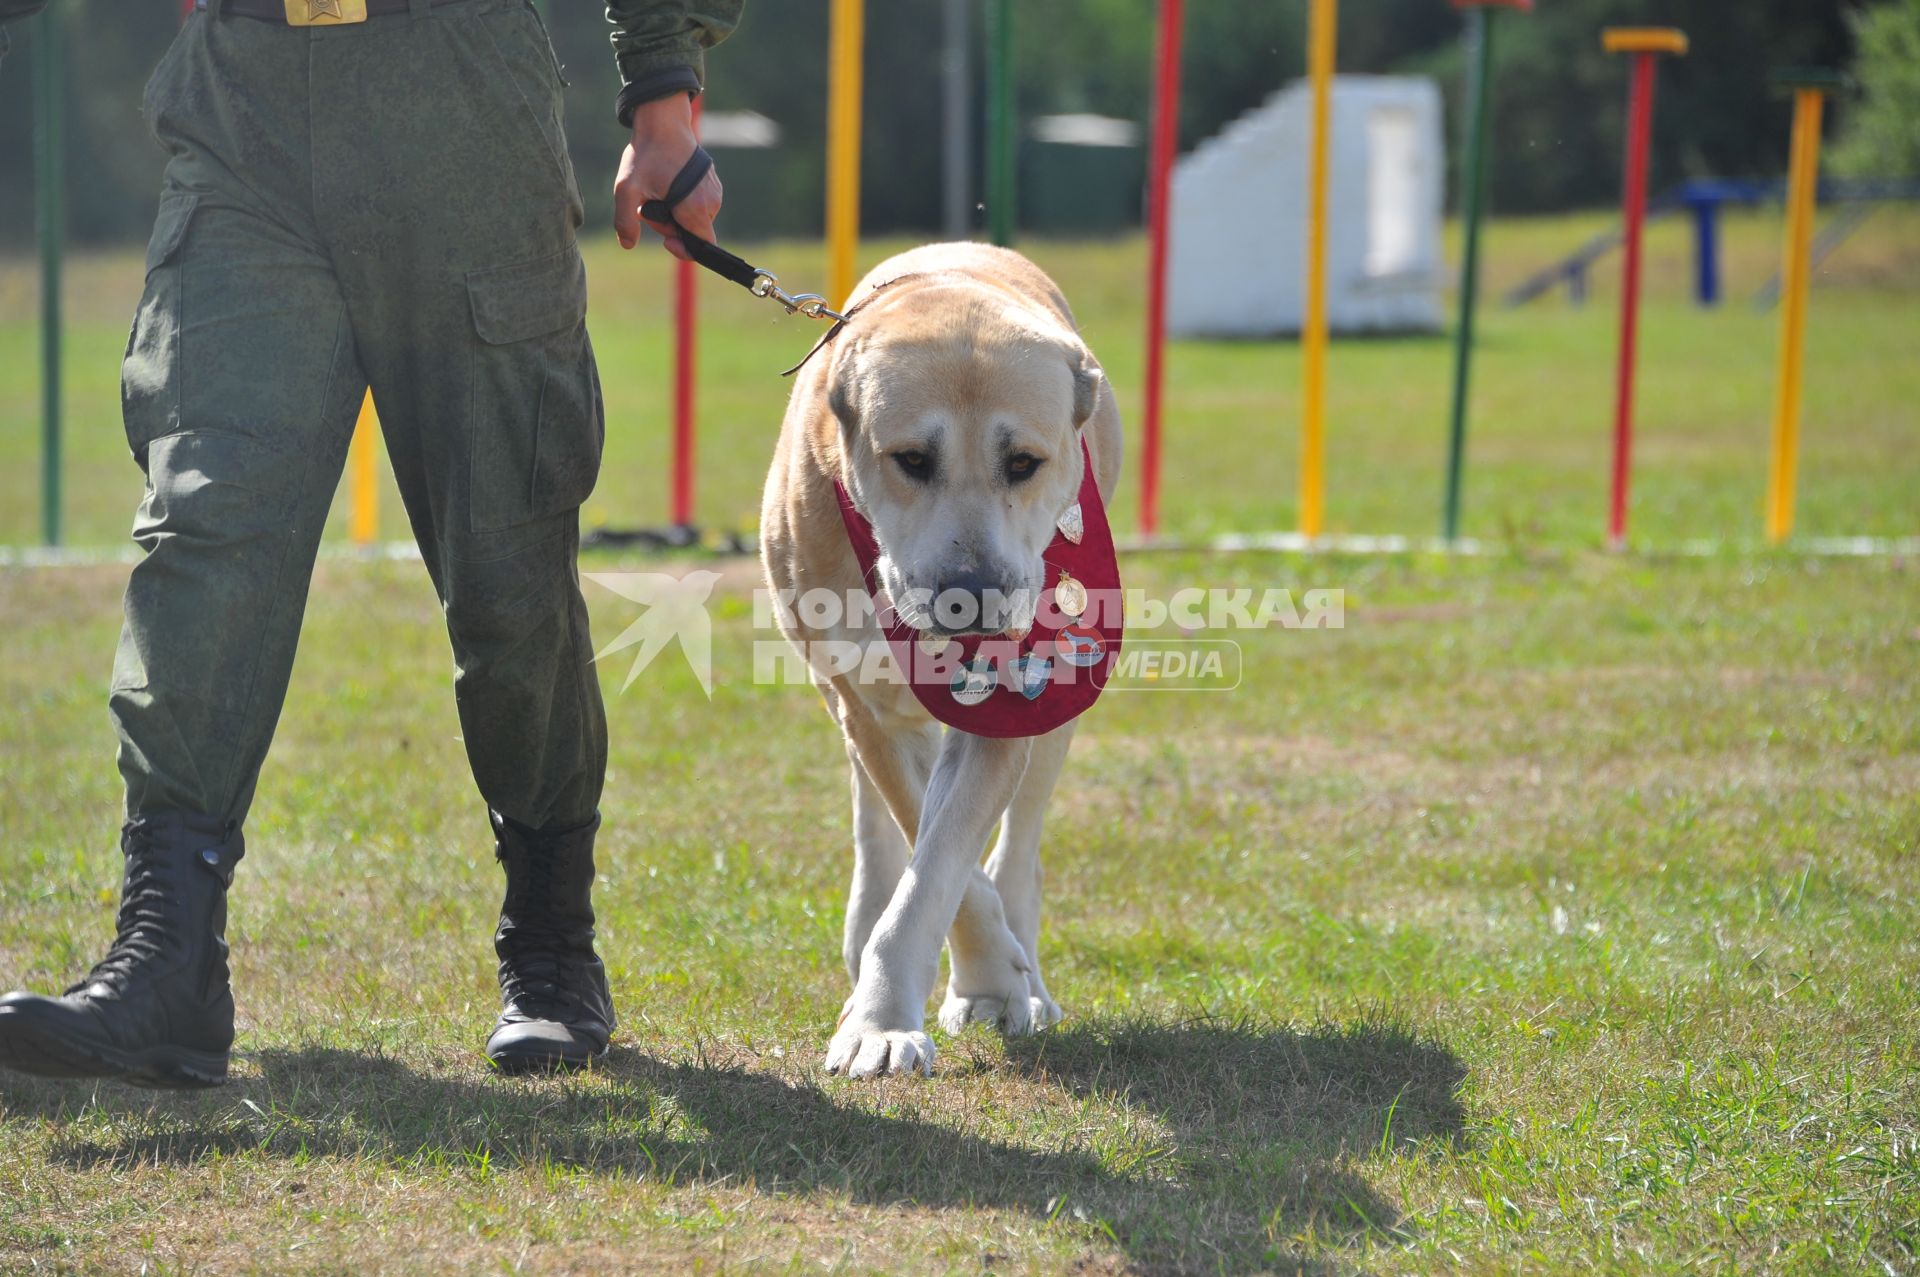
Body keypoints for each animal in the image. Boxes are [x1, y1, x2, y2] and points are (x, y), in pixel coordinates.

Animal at [760, 241, 1121, 1075]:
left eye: (1024, 462)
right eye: (912, 459)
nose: (972, 594)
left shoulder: (1013, 699)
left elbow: (944, 863)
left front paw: (930, 1003)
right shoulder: (864, 697)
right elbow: (924, 840)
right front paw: (916, 998)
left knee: (1017, 852)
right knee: (877, 811)